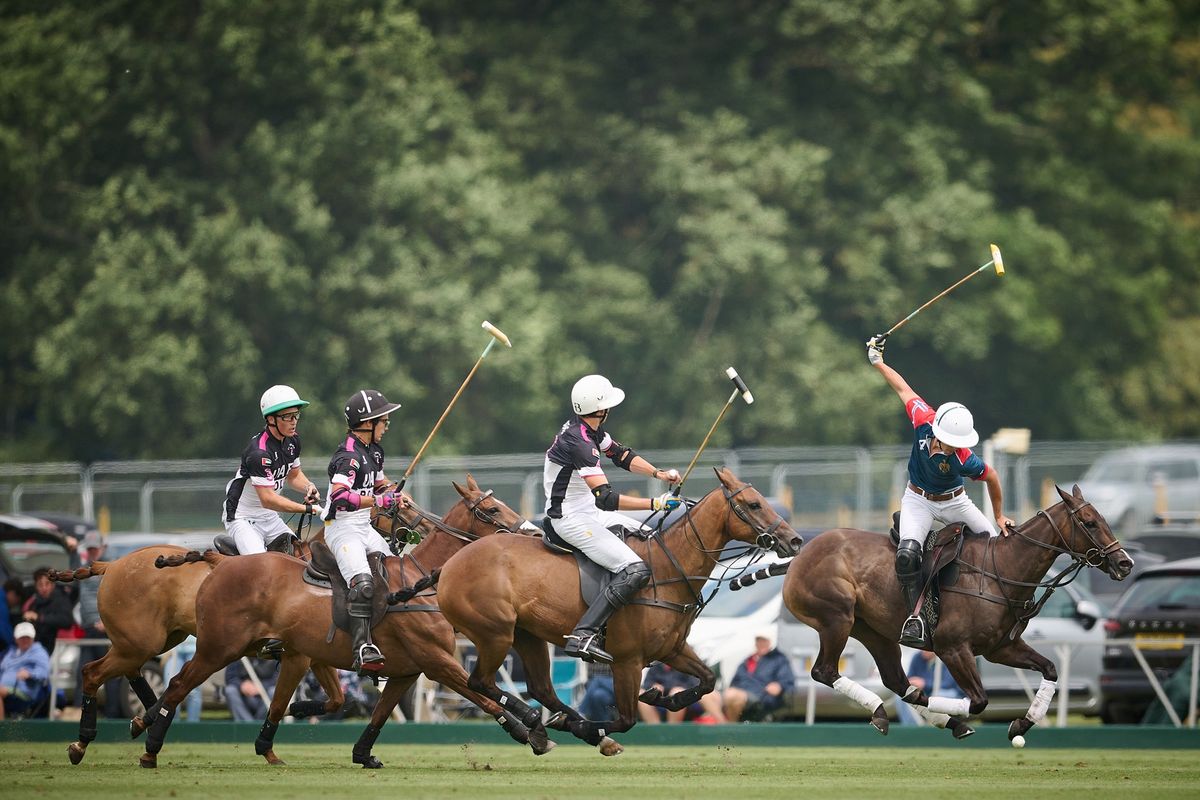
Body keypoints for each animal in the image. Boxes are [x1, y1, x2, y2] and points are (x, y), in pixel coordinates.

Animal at [140, 474, 549, 767]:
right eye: (492, 510)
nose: (535, 532)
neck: (419, 582)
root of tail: (219, 562)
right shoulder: (435, 661)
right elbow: (482, 694)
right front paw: (530, 729)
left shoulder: (404, 669)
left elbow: (372, 712)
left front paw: (359, 752)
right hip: (219, 646)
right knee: (177, 683)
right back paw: (150, 744)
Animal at [436, 465, 801, 753]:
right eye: (753, 504)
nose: (795, 541)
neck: (668, 570)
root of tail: (449, 565)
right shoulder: (628, 660)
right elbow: (626, 718)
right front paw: (591, 727)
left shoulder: (672, 649)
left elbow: (708, 680)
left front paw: (662, 698)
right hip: (494, 632)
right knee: (479, 681)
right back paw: (539, 721)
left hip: (527, 635)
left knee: (539, 688)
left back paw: (555, 728)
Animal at [782, 484, 1128, 748]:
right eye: (1089, 522)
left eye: (1102, 519)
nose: (1125, 563)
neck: (1002, 571)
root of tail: (800, 555)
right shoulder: (953, 648)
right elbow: (979, 701)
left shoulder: (1000, 648)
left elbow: (1051, 669)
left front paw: (1021, 724)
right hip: (836, 618)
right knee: (825, 671)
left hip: (874, 632)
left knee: (896, 681)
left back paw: (896, 714)